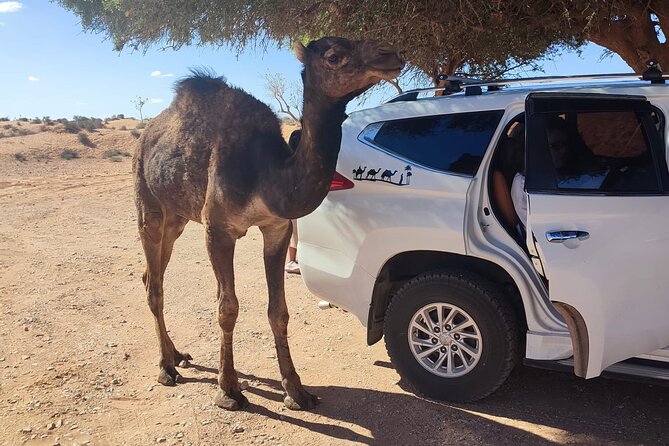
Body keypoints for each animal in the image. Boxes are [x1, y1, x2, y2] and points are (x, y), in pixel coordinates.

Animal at [133, 35, 400, 412]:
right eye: (334, 56)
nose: (391, 55)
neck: (268, 175)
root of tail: (144, 138)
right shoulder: (218, 228)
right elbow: (227, 308)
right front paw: (228, 390)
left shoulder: (277, 227)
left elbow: (279, 311)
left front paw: (296, 390)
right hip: (149, 205)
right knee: (154, 285)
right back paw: (165, 368)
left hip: (177, 219)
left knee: (150, 276)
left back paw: (177, 355)